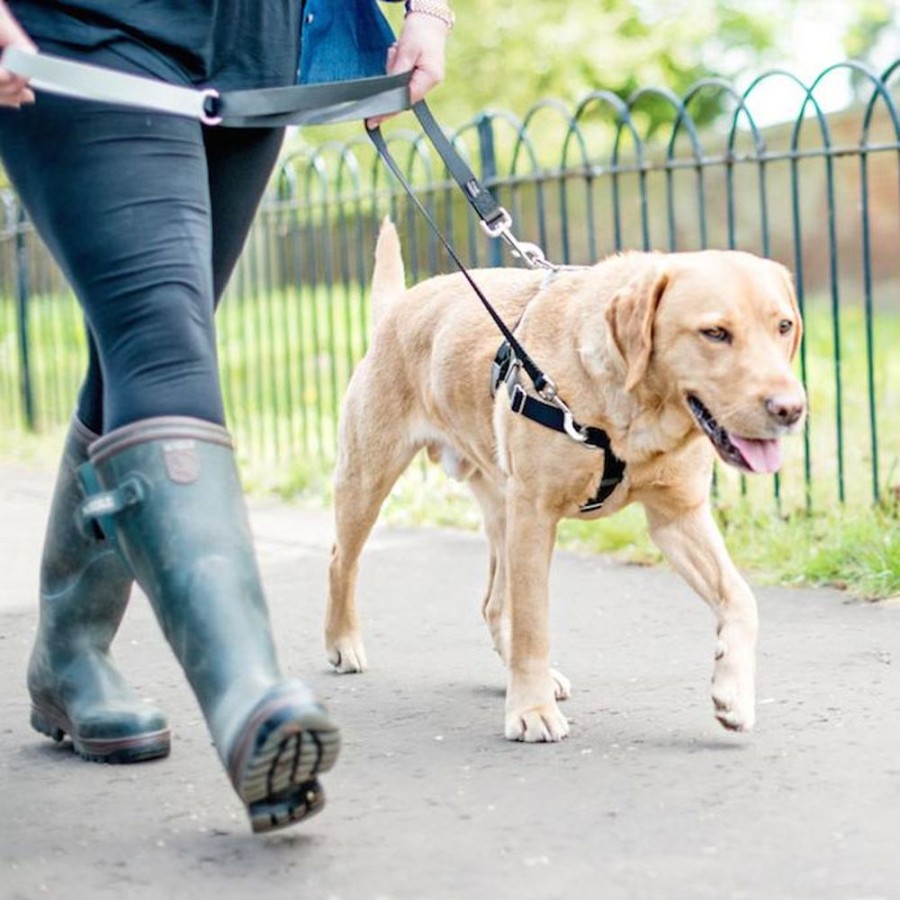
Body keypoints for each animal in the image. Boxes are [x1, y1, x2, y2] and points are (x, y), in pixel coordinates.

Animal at [326, 218, 808, 740]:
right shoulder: (536, 516)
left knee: (493, 603)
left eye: (783, 326)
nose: (791, 409)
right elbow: (534, 623)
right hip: (368, 480)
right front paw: (531, 709)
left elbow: (741, 598)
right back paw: (342, 642)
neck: (633, 413)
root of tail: (397, 308)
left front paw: (733, 691)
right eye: (715, 333)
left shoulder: (678, 517)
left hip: (502, 510)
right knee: (341, 562)